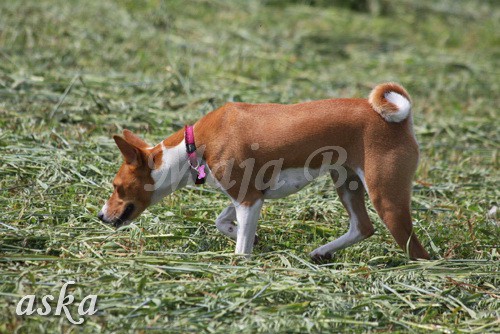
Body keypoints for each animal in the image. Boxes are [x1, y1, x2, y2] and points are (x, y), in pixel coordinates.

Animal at [97, 81, 430, 260]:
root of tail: (401, 120)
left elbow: (241, 250)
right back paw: (322, 252)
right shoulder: (248, 196)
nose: (100, 216)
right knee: (362, 227)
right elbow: (222, 221)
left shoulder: (248, 200)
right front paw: (246, 236)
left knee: (418, 253)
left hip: (386, 198)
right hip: (346, 183)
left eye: (116, 186)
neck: (194, 146)